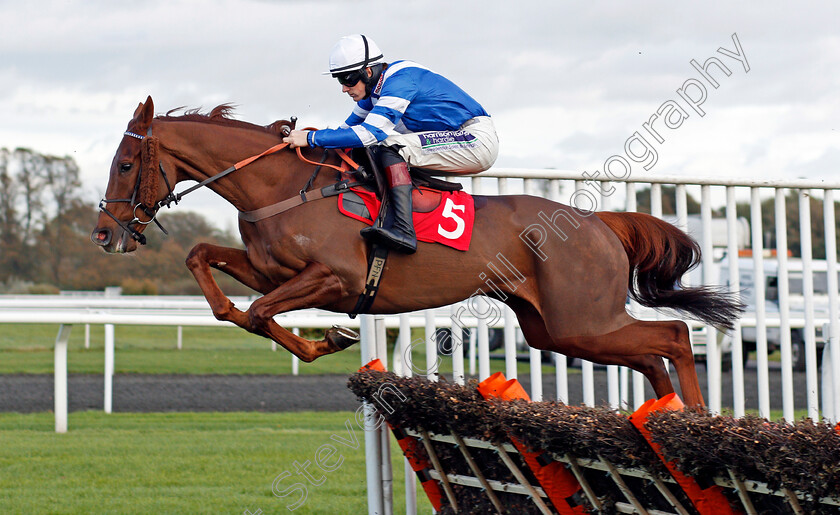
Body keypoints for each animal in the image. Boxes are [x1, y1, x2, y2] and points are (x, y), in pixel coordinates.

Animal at [90, 97, 740, 408]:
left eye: (124, 163)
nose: (105, 233)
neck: (280, 188)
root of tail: (597, 222)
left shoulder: (336, 279)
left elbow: (258, 312)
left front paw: (328, 340)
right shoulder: (272, 269)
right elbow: (213, 275)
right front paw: (324, 340)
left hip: (582, 318)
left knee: (671, 337)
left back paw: (697, 418)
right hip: (556, 327)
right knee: (651, 353)